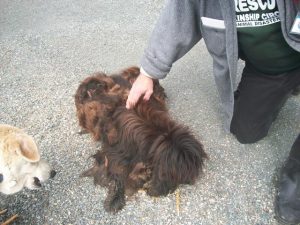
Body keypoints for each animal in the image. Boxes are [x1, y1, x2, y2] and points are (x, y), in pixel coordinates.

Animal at [75, 66, 207, 213]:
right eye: (174, 177)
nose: (190, 181)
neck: (157, 135)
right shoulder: (113, 155)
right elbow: (115, 174)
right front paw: (115, 199)